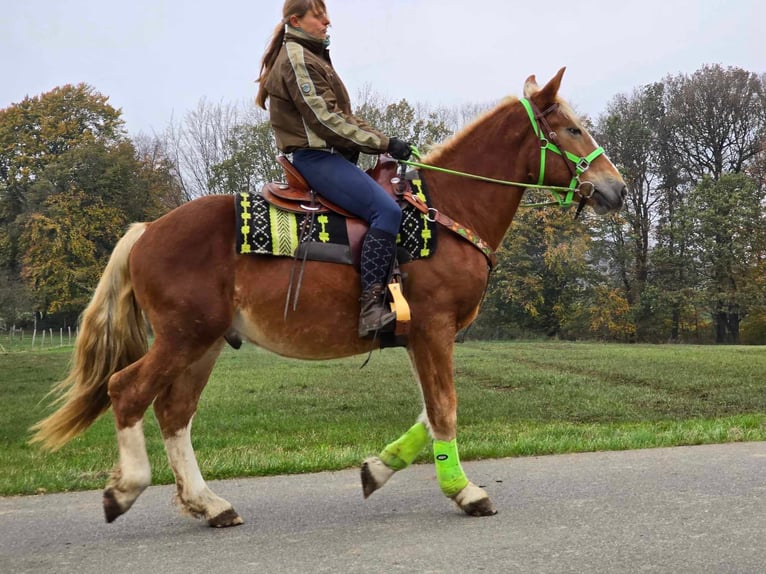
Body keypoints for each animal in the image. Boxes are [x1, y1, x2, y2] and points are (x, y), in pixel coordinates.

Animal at [31, 67, 632, 528]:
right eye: (573, 129)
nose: (617, 188)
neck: (445, 212)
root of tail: (147, 230)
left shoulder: (420, 337)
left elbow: (427, 412)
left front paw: (379, 468)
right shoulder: (435, 328)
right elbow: (444, 409)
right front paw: (465, 491)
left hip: (203, 343)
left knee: (174, 412)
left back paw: (209, 504)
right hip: (184, 336)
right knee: (127, 391)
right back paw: (126, 488)